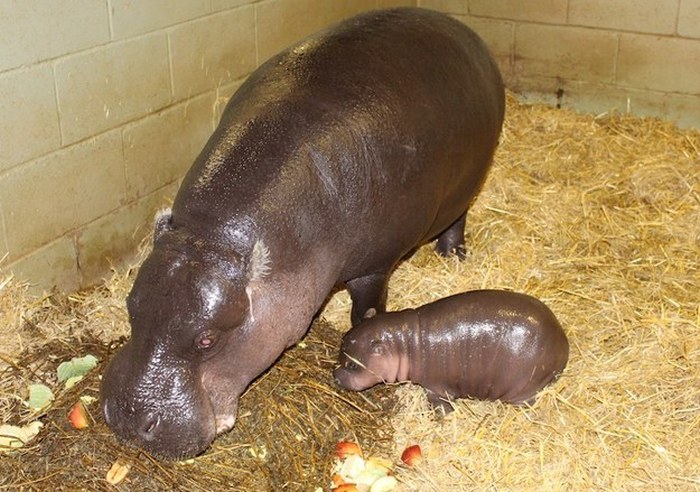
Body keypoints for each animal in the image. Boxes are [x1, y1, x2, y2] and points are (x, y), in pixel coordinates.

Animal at [100, 6, 504, 458]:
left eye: (207, 339)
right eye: (131, 307)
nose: (130, 420)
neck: (215, 237)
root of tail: (456, 25)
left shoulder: (374, 267)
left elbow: (366, 312)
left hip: (467, 182)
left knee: (458, 217)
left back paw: (453, 254)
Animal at [334, 290, 568, 406]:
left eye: (353, 365)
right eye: (342, 346)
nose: (334, 376)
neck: (406, 341)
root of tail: (562, 342)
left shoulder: (437, 388)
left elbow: (440, 404)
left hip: (522, 387)